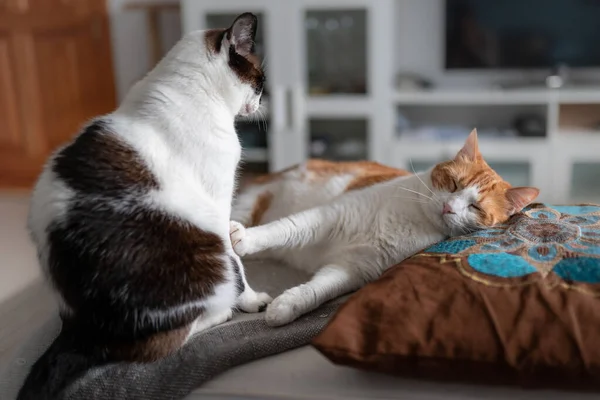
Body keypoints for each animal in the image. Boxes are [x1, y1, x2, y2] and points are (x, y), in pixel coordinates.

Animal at [19, 12, 270, 400]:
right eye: (260, 83)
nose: (260, 104)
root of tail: (81, 330)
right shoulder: (216, 205)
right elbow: (240, 268)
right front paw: (253, 302)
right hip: (207, 257)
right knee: (165, 342)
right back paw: (221, 314)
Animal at [230, 130, 540, 326]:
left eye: (475, 207)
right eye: (453, 184)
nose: (449, 207)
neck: (412, 219)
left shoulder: (352, 269)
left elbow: (318, 291)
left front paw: (286, 307)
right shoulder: (328, 216)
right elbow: (284, 229)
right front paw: (248, 238)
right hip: (247, 206)